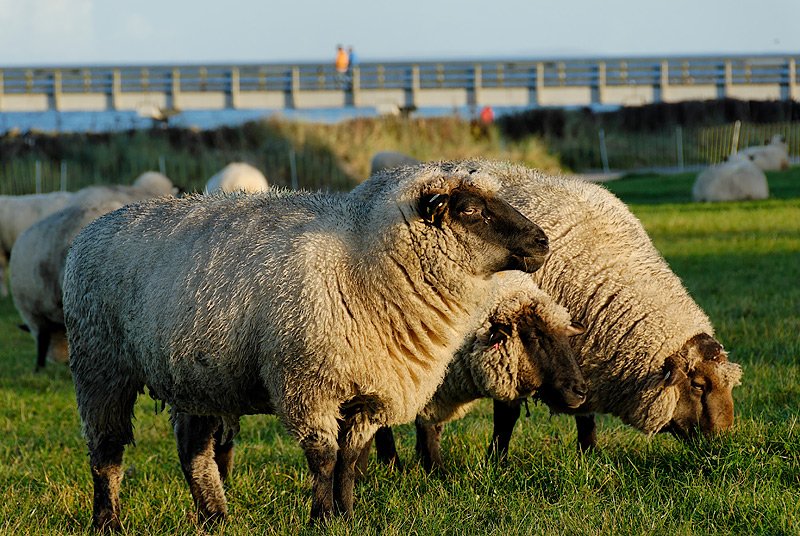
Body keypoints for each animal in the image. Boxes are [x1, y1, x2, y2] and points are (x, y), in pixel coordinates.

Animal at [61, 159, 552, 528]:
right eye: (469, 209)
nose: (542, 241)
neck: (362, 262)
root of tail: (95, 228)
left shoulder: (371, 392)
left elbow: (350, 459)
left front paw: (347, 516)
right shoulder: (307, 384)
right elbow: (324, 457)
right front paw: (321, 517)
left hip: (195, 378)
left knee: (192, 451)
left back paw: (215, 517)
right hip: (100, 366)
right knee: (106, 452)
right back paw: (108, 522)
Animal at [376, 160, 744, 464]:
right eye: (698, 385)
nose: (723, 444)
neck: (606, 273)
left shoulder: (581, 357)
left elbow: (585, 412)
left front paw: (590, 455)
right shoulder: (513, 337)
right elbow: (506, 415)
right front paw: (497, 462)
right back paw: (392, 462)